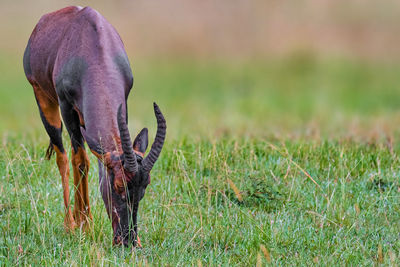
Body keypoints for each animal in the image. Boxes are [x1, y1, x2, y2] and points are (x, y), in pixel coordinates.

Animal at [22, 5, 166, 247]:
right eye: (118, 186)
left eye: (144, 187)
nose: (127, 241)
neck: (93, 46)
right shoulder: (67, 107)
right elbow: (80, 160)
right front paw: (84, 226)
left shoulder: (124, 102)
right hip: (43, 99)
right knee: (63, 157)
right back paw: (70, 223)